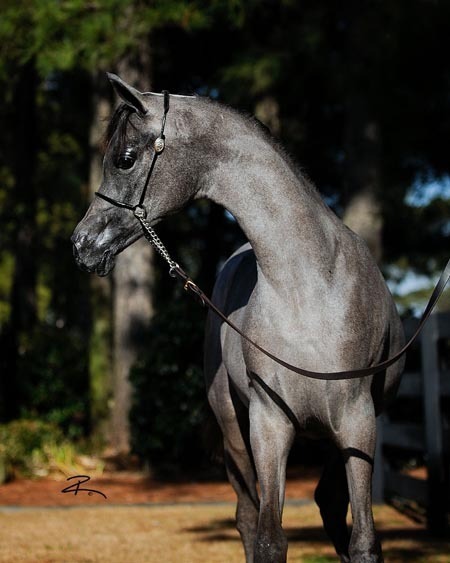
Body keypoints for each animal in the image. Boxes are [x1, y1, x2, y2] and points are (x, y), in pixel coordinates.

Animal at [72, 74, 406, 562]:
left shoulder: (358, 421)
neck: (308, 288)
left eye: (126, 159)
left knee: (328, 501)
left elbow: (364, 541)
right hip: (233, 427)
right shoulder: (269, 423)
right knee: (249, 517)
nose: (81, 244)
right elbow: (268, 537)